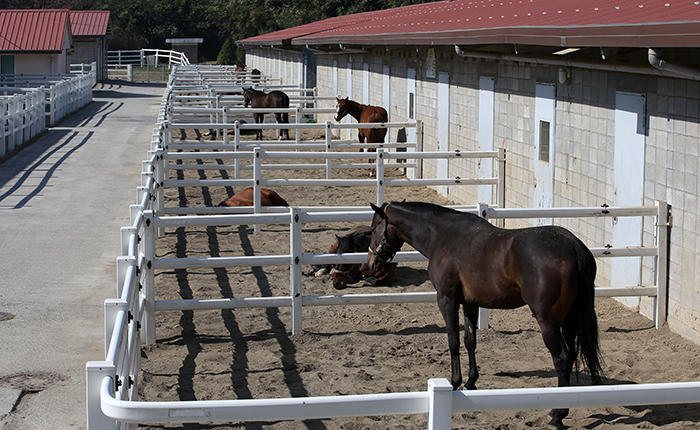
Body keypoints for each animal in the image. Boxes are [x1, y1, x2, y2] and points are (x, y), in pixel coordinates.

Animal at [366, 202, 600, 430]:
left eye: (374, 228)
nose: (371, 265)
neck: (442, 235)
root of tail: (573, 245)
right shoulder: (470, 303)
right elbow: (470, 340)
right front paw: (471, 381)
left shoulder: (447, 300)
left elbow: (453, 341)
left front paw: (455, 381)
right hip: (569, 320)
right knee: (571, 355)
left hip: (548, 322)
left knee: (562, 358)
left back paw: (558, 414)